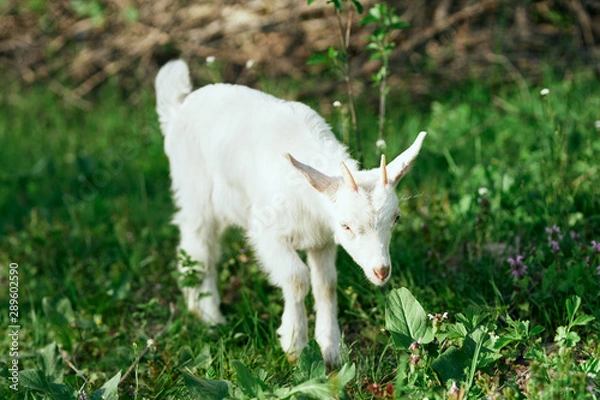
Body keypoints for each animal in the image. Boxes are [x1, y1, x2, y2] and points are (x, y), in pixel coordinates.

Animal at [155, 59, 426, 366]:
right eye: (346, 226)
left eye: (396, 218)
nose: (381, 271)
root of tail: (179, 107)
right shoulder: (267, 234)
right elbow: (296, 279)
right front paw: (295, 345)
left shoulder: (322, 241)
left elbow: (326, 284)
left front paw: (332, 348)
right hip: (195, 193)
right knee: (199, 249)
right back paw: (209, 315)